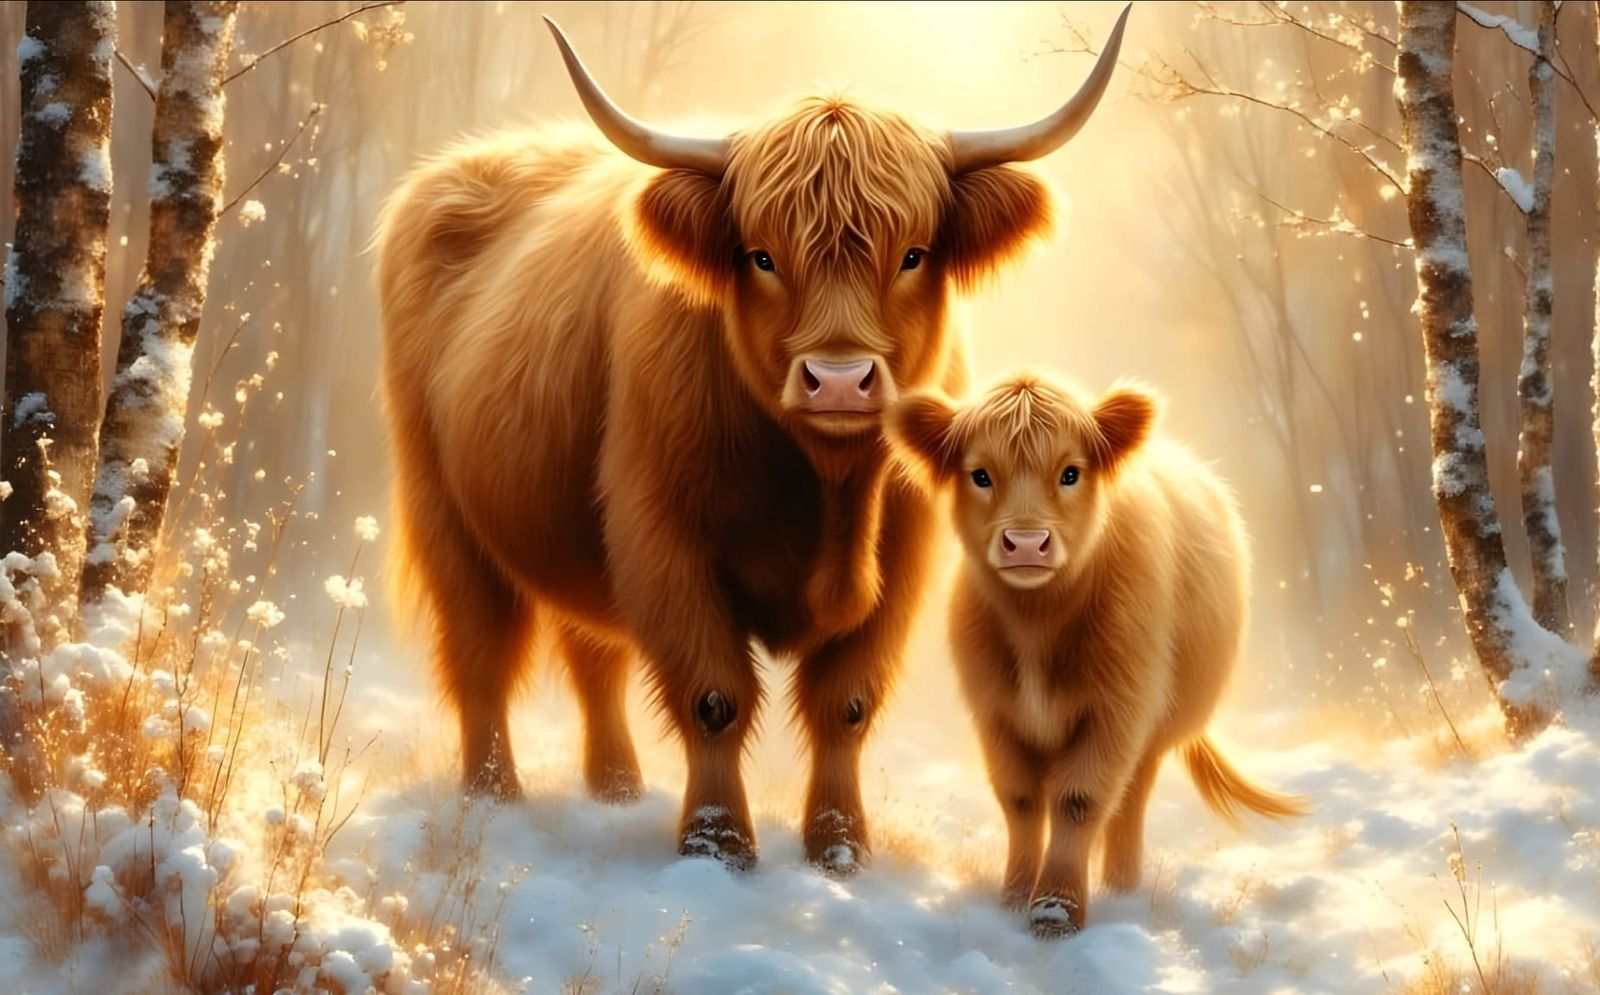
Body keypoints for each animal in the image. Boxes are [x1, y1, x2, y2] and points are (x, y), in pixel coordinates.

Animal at [374, 8, 1131, 874]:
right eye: (761, 255)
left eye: (913, 254)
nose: (838, 380)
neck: (827, 486)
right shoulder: (661, 536)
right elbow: (714, 696)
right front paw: (717, 845)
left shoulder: (906, 552)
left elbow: (845, 703)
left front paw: (840, 847)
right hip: (443, 510)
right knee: (482, 654)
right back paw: (493, 798)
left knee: (591, 653)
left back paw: (616, 788)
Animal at [886, 374, 1306, 932]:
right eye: (979, 474)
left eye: (1070, 473)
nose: (1026, 542)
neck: (1038, 624)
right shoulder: (996, 710)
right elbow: (1020, 800)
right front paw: (1013, 898)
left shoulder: (1117, 710)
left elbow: (1080, 799)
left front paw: (1056, 909)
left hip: (1152, 727)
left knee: (1129, 797)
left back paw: (1122, 887)